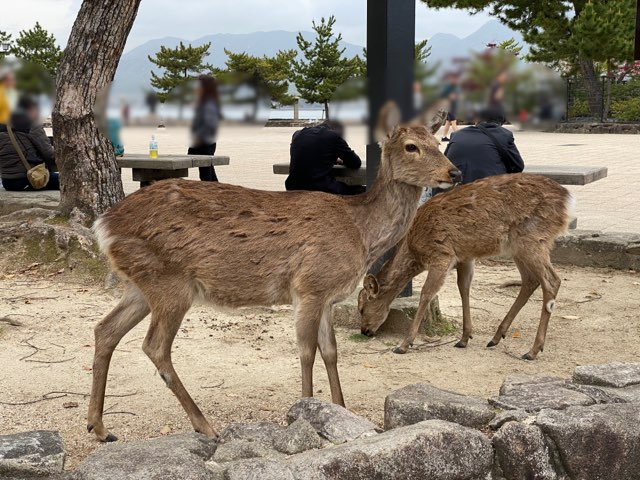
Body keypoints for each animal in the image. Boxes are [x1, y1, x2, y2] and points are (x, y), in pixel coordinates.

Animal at [87, 102, 462, 442]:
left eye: (436, 140)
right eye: (411, 146)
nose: (455, 173)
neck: (360, 232)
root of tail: (103, 226)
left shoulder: (327, 296)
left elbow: (331, 352)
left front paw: (341, 409)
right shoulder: (309, 285)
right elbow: (307, 352)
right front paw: (306, 412)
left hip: (140, 283)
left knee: (105, 329)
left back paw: (100, 428)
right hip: (170, 282)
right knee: (154, 346)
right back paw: (205, 426)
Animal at [358, 172, 572, 360]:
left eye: (361, 307)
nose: (365, 330)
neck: (414, 248)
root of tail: (568, 200)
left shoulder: (441, 253)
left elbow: (427, 293)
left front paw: (403, 344)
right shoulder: (465, 257)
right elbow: (464, 288)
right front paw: (464, 338)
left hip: (533, 238)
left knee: (552, 281)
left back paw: (532, 350)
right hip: (517, 247)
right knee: (530, 280)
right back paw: (496, 337)